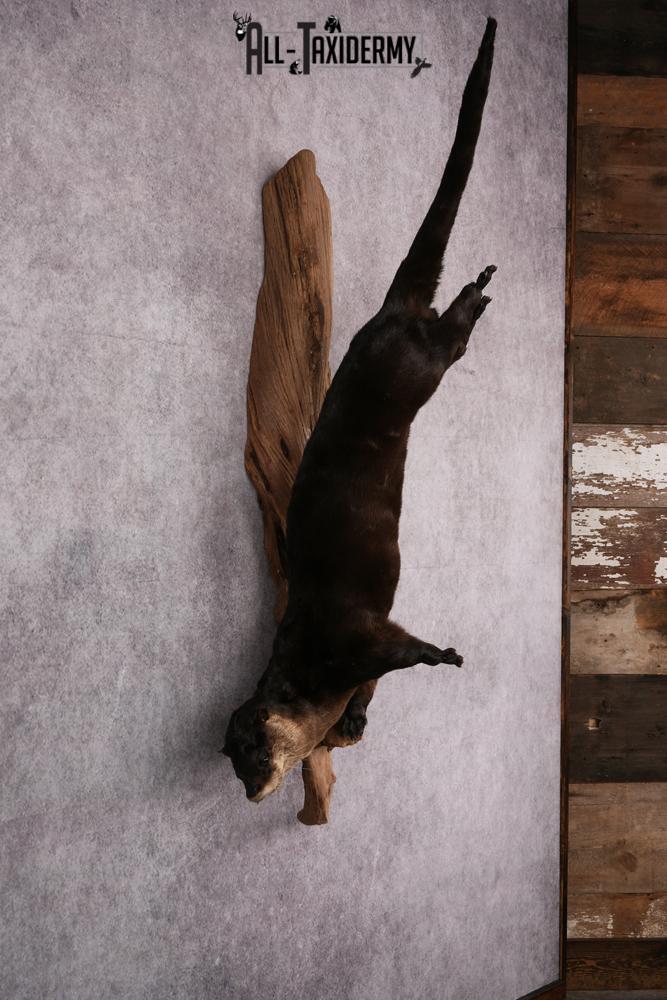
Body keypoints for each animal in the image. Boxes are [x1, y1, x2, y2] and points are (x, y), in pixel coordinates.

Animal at [223, 17, 496, 804]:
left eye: (250, 754)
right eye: (231, 762)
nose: (248, 791)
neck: (313, 672)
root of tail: (384, 316)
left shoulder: (358, 640)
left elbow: (401, 651)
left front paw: (445, 655)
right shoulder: (355, 664)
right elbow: (371, 689)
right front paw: (354, 721)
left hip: (419, 361)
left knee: (448, 334)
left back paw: (477, 293)